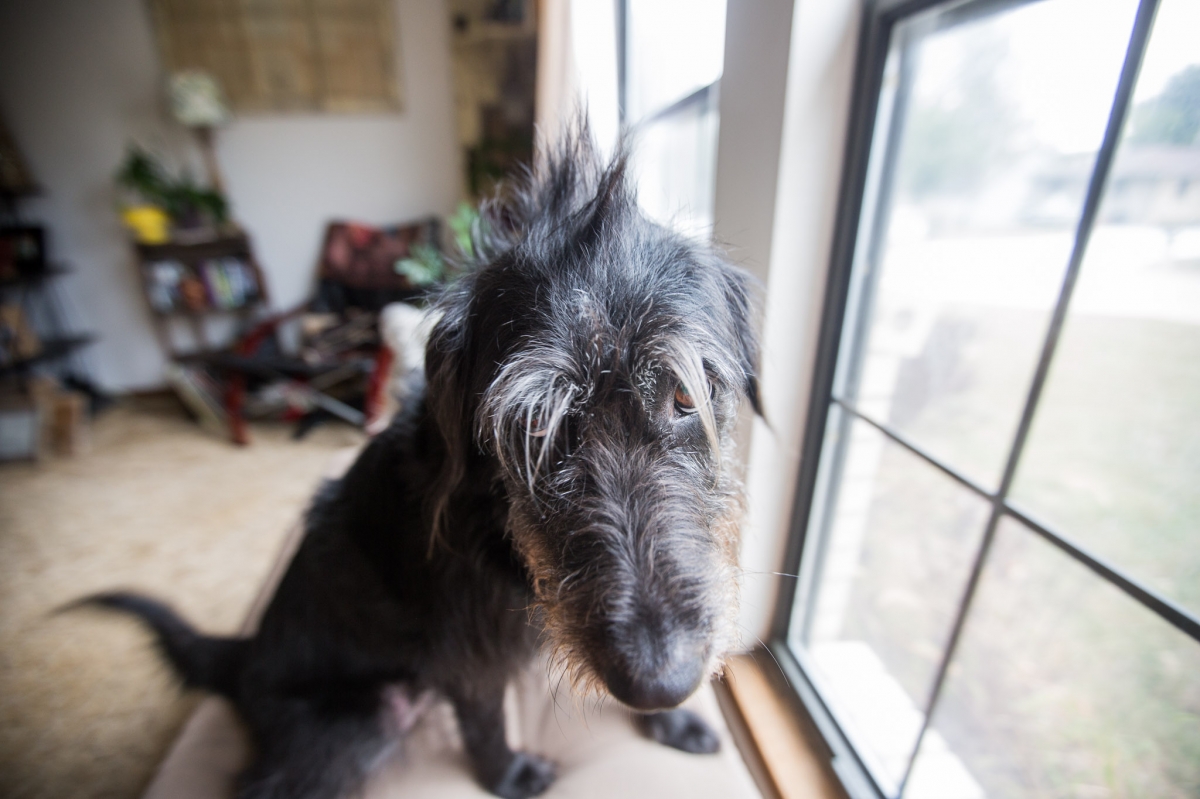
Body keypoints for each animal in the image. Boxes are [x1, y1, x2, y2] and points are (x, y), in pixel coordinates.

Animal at [80, 127, 762, 799]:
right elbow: (483, 720)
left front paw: (672, 722)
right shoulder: (467, 654)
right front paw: (508, 776)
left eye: (686, 396)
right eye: (534, 424)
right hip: (361, 720)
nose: (660, 681)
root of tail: (245, 661)